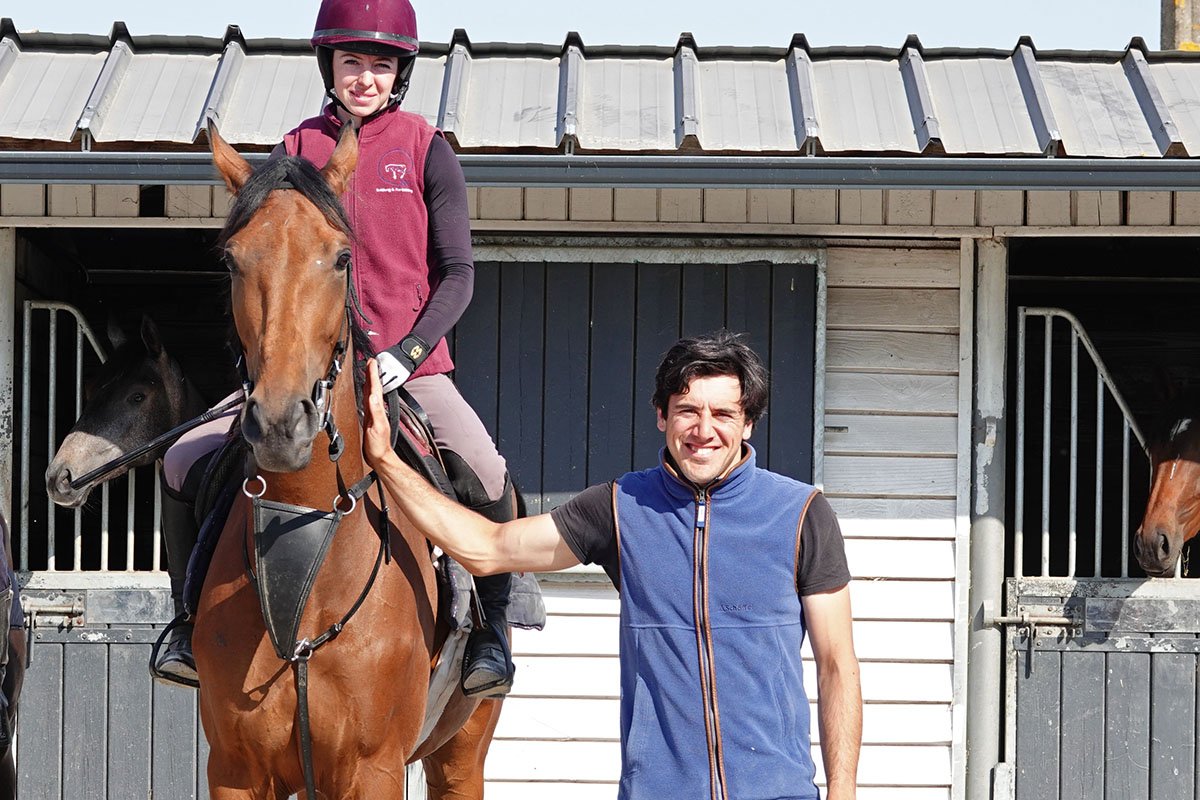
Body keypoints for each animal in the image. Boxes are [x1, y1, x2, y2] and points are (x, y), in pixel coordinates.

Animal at [196, 123, 501, 799]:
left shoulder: (372, 767)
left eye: (340, 258)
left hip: (462, 752)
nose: (281, 423)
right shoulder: (236, 769)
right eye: (230, 260)